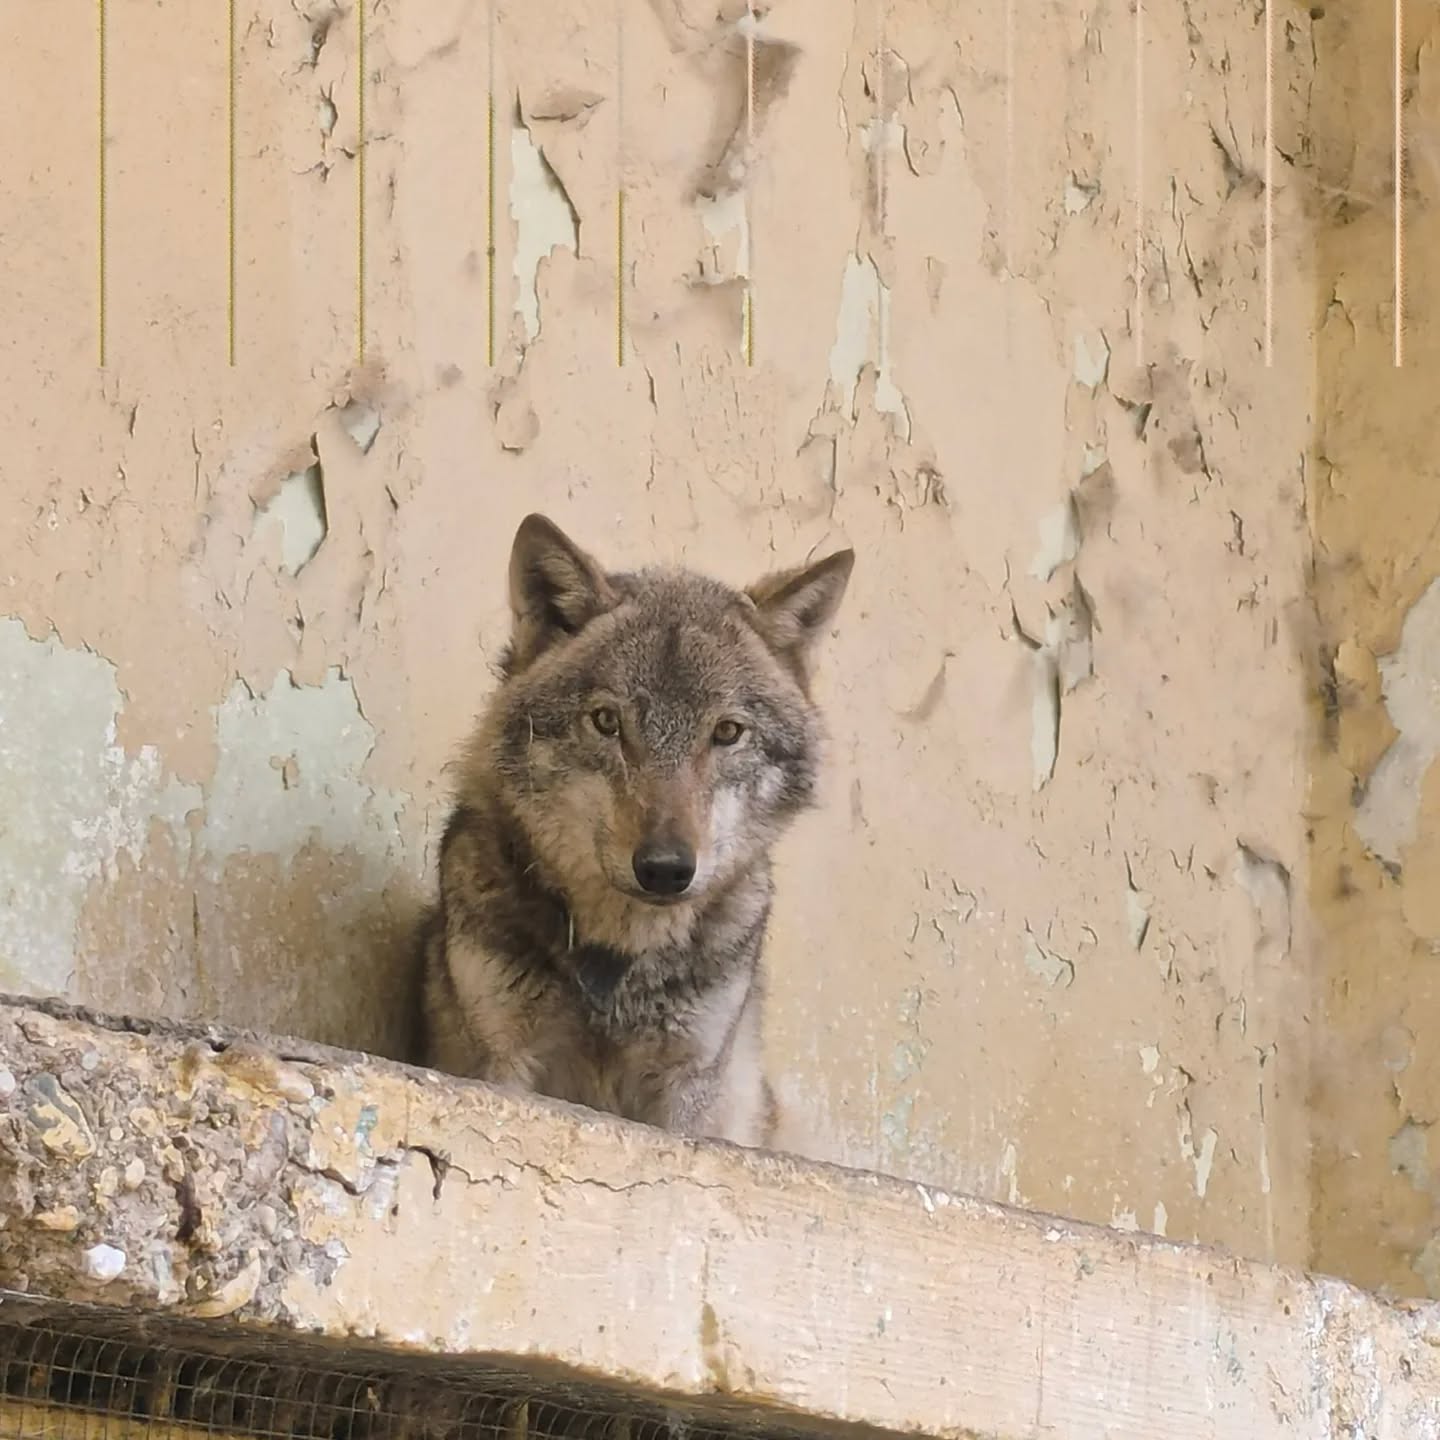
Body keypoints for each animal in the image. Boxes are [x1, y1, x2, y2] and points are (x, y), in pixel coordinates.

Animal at [417, 514, 854, 1148]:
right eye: (607, 722)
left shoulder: (690, 1084)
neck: (618, 963)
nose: (666, 870)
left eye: (727, 732)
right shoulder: (501, 1061)